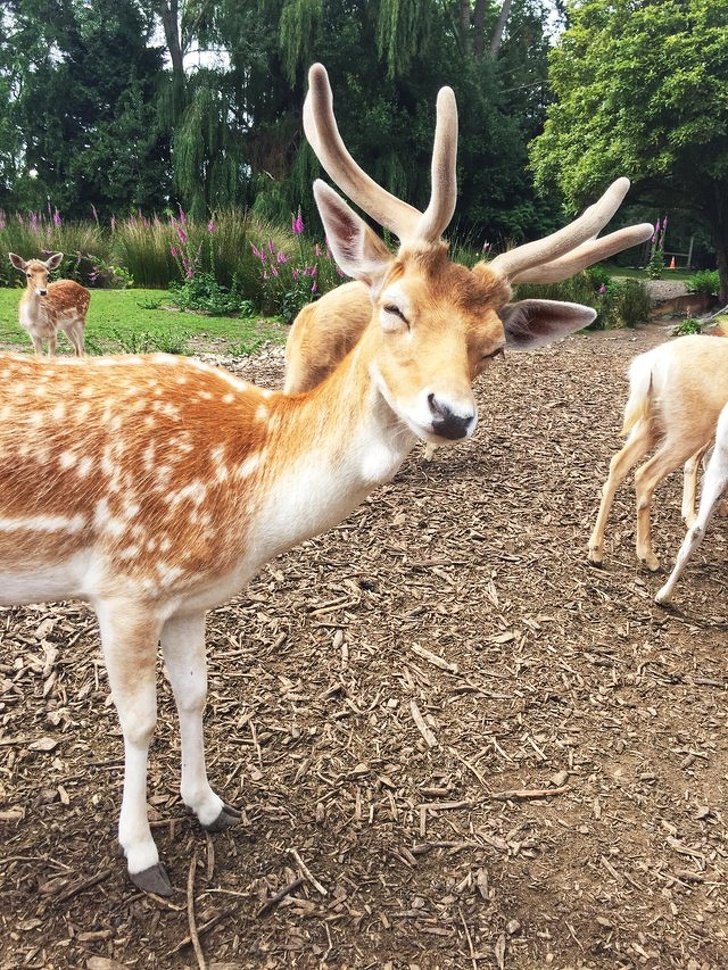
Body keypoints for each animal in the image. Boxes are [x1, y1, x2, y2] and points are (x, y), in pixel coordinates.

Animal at [0, 64, 648, 896]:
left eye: (495, 347)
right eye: (395, 308)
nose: (450, 415)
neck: (246, 501)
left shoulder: (188, 597)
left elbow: (197, 695)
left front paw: (210, 806)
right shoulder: (124, 585)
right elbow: (138, 720)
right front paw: (143, 857)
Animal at [584, 336, 728, 572]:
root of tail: (652, 364)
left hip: (652, 422)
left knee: (618, 462)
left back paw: (596, 552)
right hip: (689, 429)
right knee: (645, 474)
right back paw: (649, 557)